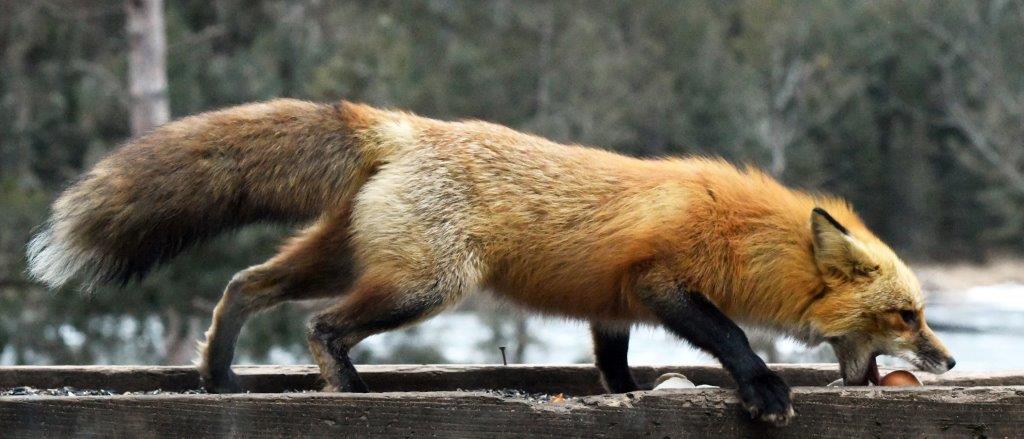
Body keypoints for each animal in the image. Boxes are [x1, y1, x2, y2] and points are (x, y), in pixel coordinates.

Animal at [27, 99, 955, 425]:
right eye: (907, 315)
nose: (946, 360)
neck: (743, 235)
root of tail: (402, 125)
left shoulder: (611, 305)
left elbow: (614, 370)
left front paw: (624, 398)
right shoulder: (661, 281)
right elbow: (729, 337)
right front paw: (762, 388)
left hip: (343, 259)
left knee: (242, 285)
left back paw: (218, 374)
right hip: (427, 284)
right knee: (321, 325)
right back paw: (345, 387)